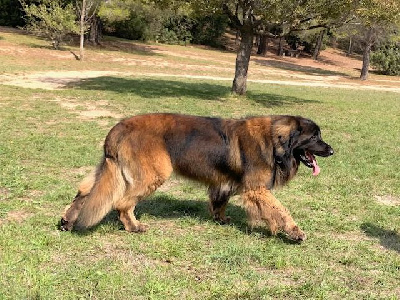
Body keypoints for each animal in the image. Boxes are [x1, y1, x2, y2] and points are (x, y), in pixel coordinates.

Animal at [60, 112, 334, 241]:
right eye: (314, 137)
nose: (331, 150)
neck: (275, 143)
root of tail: (117, 128)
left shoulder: (226, 183)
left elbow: (220, 201)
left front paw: (220, 219)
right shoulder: (257, 189)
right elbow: (280, 211)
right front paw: (294, 232)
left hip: (112, 171)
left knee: (85, 192)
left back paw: (67, 221)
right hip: (153, 175)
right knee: (121, 203)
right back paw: (134, 227)